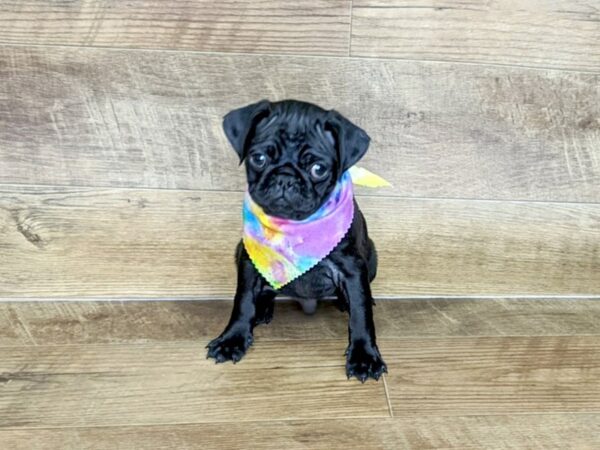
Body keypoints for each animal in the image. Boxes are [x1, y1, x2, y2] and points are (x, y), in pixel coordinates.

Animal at [205, 99, 384, 384]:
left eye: (318, 169)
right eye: (259, 158)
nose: (285, 178)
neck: (296, 228)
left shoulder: (353, 269)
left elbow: (361, 311)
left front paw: (364, 356)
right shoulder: (248, 262)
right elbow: (242, 301)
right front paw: (231, 339)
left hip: (372, 256)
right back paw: (262, 309)